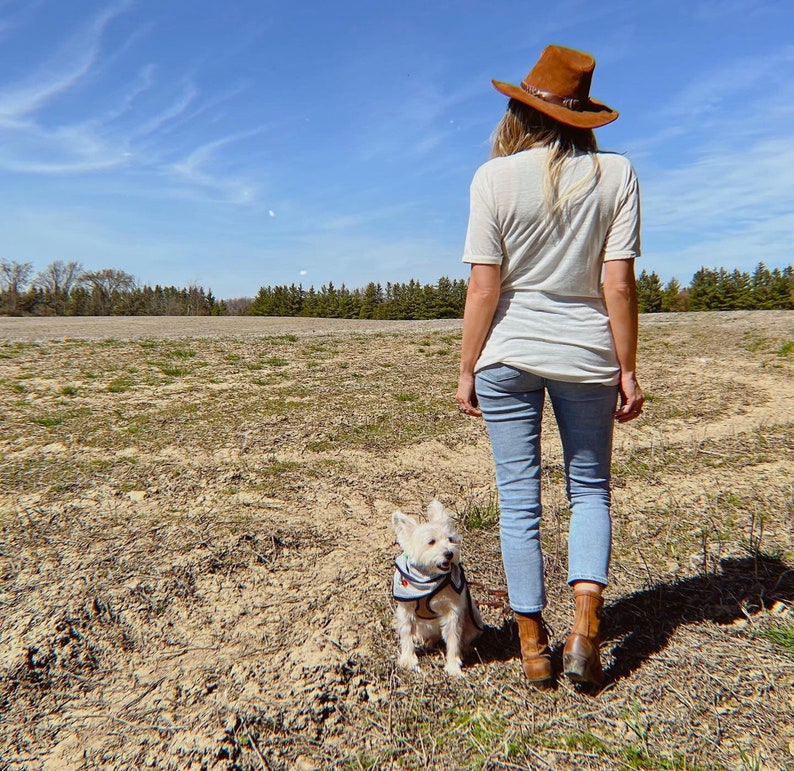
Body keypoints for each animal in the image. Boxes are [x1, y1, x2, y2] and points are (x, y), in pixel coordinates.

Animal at [392, 500, 482, 676]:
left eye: (450, 539)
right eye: (431, 542)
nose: (449, 554)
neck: (428, 579)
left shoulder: (453, 612)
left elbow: (453, 639)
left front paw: (453, 666)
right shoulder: (405, 610)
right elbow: (406, 634)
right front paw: (407, 659)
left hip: (475, 618)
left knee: (463, 637)